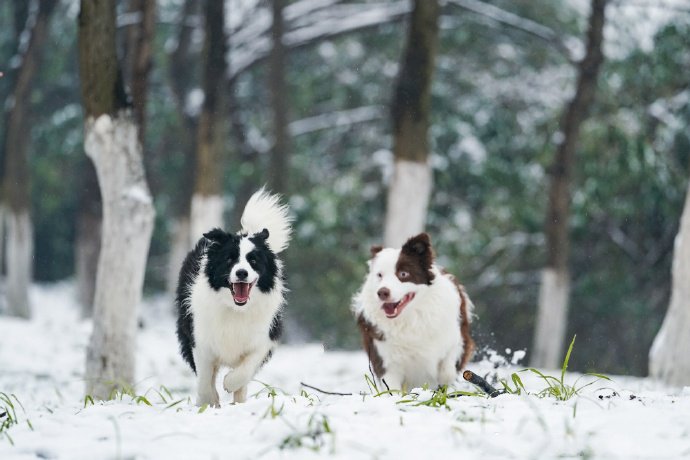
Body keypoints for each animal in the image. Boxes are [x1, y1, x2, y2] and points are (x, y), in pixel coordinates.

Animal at [175, 189, 290, 404]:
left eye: (253, 261)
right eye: (229, 259)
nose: (242, 273)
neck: (235, 307)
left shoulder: (264, 336)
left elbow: (246, 369)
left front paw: (230, 383)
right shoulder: (200, 338)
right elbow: (205, 378)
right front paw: (209, 402)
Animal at [350, 234, 472, 392]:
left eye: (403, 274)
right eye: (379, 275)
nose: (382, 292)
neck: (410, 318)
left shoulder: (456, 338)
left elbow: (448, 368)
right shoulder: (385, 358)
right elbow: (391, 387)